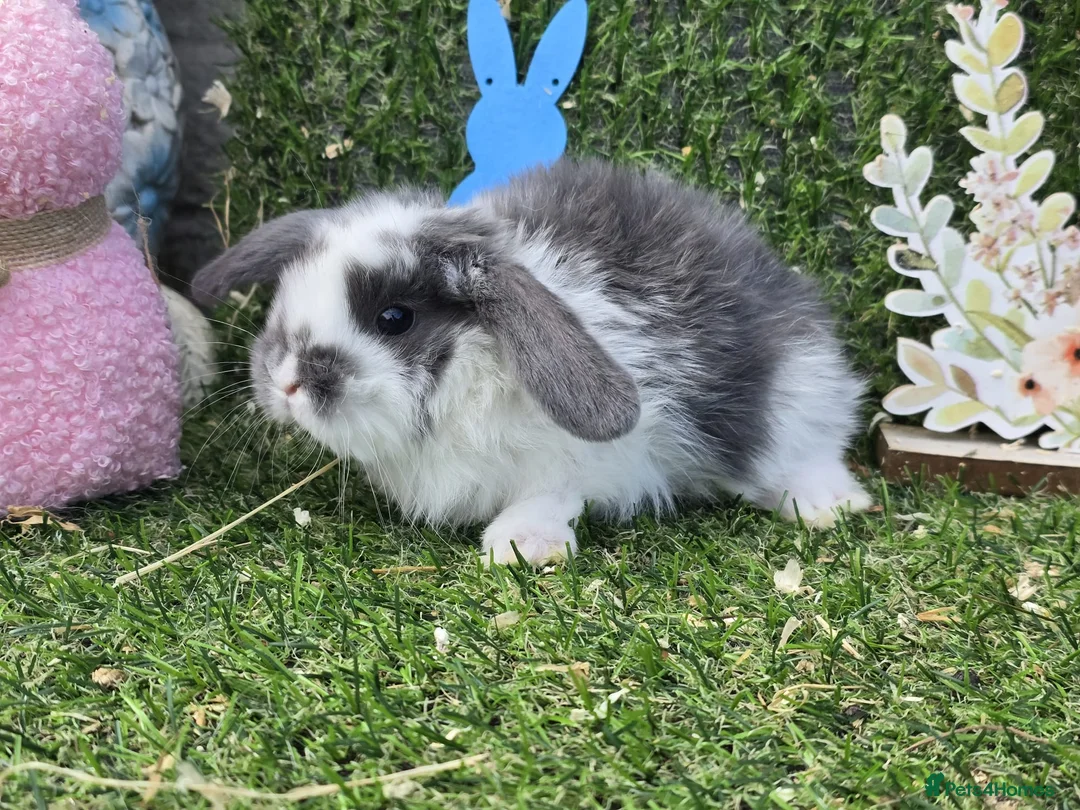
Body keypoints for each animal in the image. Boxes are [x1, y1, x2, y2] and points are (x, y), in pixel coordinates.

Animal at [191, 159, 872, 566]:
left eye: (395, 318)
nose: (285, 380)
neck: (470, 370)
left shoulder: (585, 461)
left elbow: (553, 494)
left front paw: (521, 546)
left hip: (797, 396)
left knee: (808, 452)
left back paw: (827, 506)